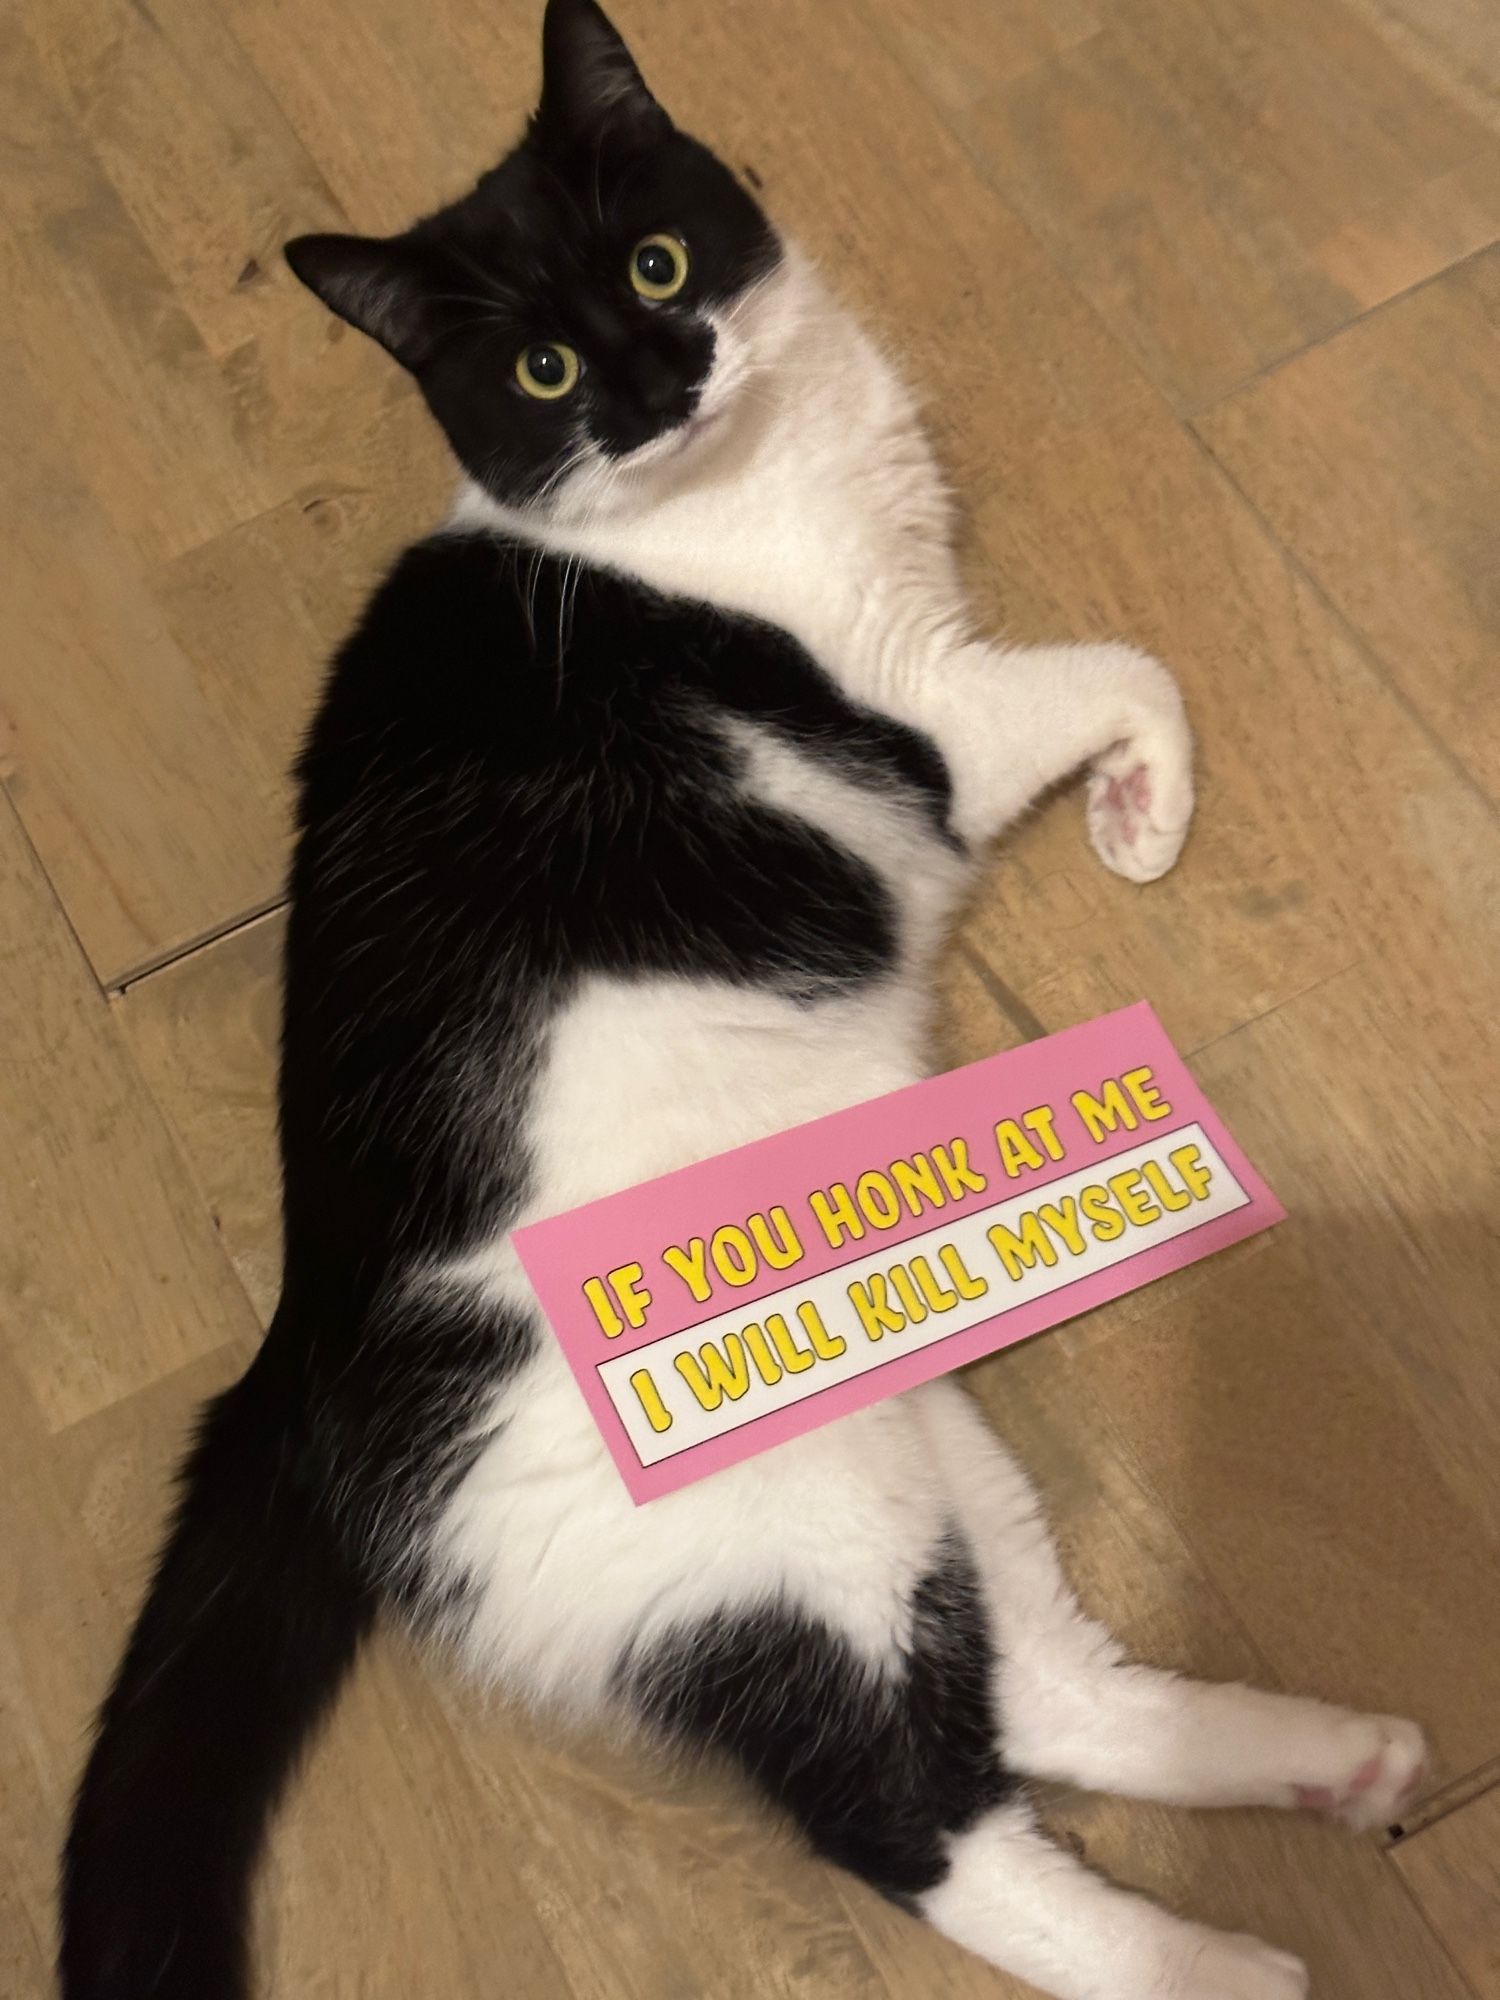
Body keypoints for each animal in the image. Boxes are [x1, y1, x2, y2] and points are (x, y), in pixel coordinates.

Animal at [58, 3, 1432, 2000]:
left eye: (655, 261)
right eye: (544, 367)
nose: (660, 373)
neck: (726, 485)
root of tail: (300, 1356)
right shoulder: (928, 712)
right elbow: (1134, 668)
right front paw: (1147, 814)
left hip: (922, 1446)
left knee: (1045, 1687)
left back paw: (1330, 1764)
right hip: (786, 1528)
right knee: (916, 1823)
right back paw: (1220, 1972)